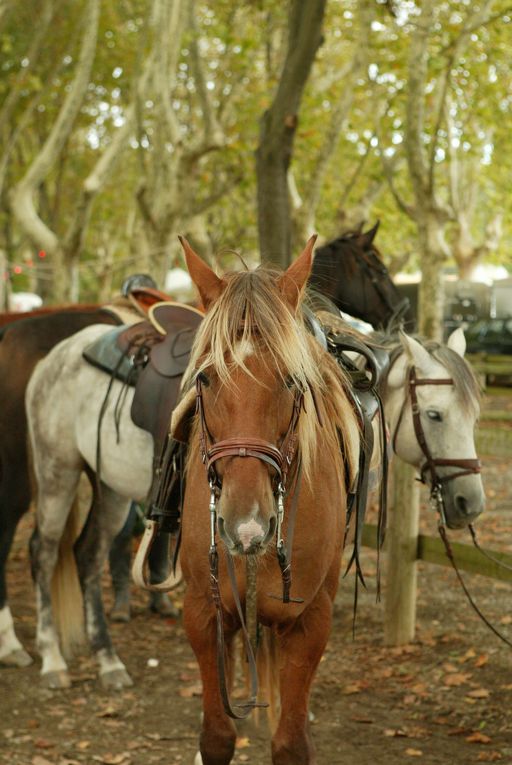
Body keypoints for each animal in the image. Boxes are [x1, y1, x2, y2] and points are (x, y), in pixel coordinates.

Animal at [173, 239, 360, 764]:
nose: (246, 526)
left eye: (292, 381)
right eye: (206, 378)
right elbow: (216, 738)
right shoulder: (203, 612)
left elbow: (291, 744)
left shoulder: (311, 622)